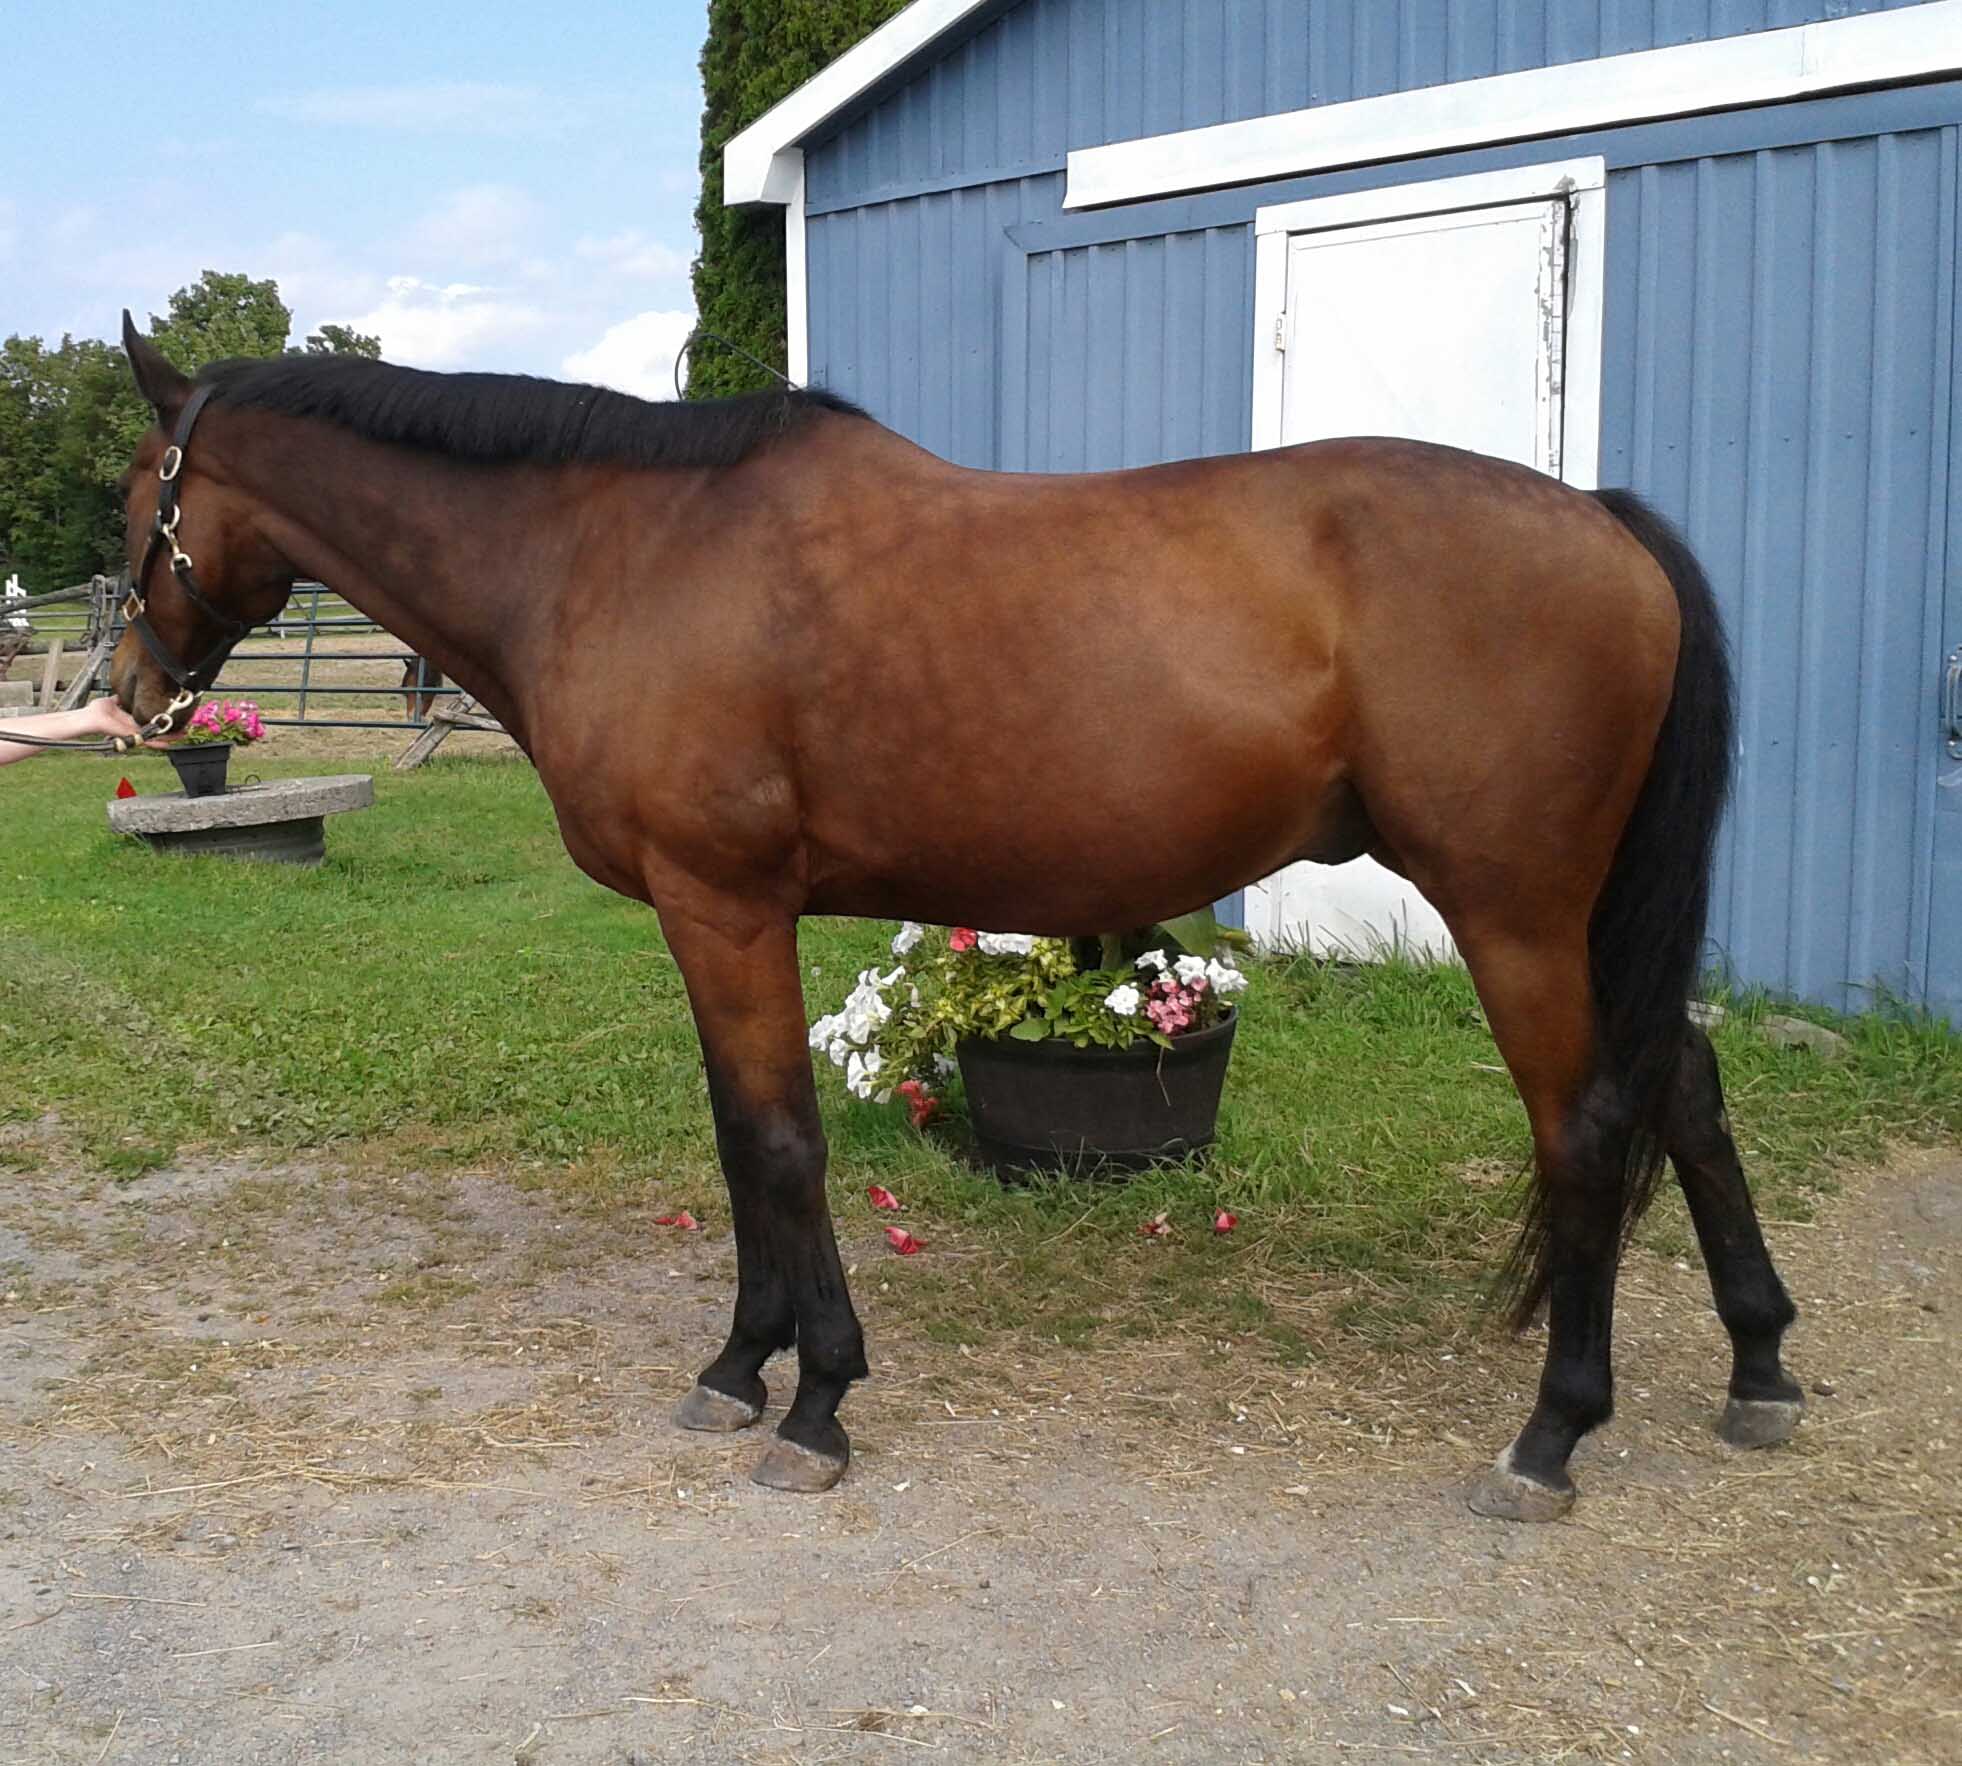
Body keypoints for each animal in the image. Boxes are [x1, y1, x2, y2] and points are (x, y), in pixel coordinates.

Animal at [108, 313, 1804, 1517]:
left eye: (137, 501)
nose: (128, 691)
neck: (618, 552)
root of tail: (1601, 518)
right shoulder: (713, 921)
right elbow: (740, 1142)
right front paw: (738, 1365)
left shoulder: (723, 908)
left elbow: (774, 1144)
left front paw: (813, 1402)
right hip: (1586, 916)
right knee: (1686, 1084)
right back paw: (1760, 1366)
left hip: (1514, 910)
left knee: (1587, 1125)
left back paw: (1551, 1436)